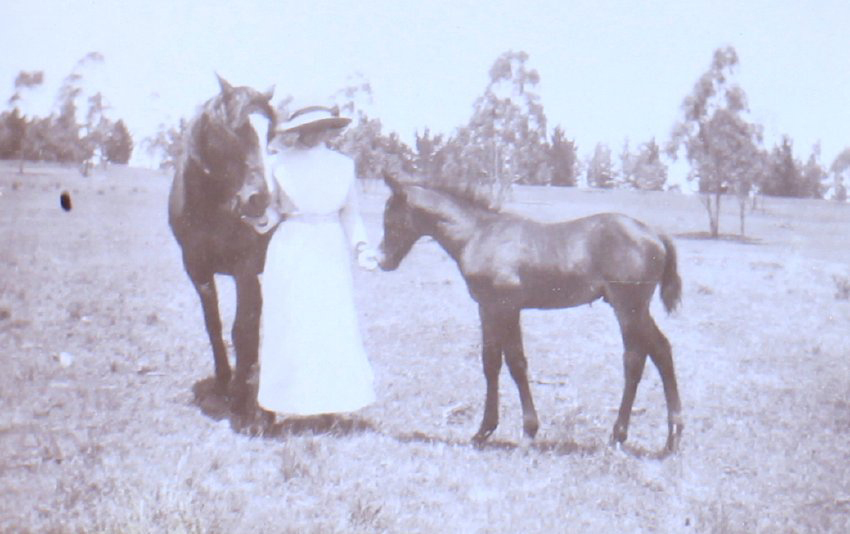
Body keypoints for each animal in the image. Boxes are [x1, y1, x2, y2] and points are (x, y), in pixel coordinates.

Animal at [168, 75, 276, 415]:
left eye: (271, 134)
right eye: (235, 130)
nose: (260, 199)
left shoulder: (245, 268)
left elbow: (242, 326)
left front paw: (243, 396)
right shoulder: (196, 267)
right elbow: (213, 324)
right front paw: (223, 383)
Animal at [378, 173, 684, 453]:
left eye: (390, 218)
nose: (382, 261)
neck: (478, 234)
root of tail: (654, 233)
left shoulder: (507, 306)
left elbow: (516, 363)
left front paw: (528, 432)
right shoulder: (487, 308)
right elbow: (491, 363)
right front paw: (483, 431)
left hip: (628, 307)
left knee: (637, 357)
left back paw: (622, 435)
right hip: (634, 308)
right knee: (659, 350)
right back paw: (670, 437)